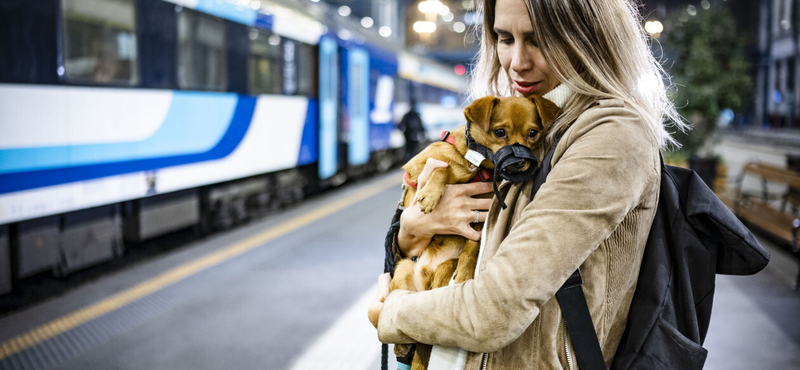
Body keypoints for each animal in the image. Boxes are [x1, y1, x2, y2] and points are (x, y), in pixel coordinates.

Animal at [390, 94, 560, 368]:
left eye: (533, 133)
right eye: (499, 132)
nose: (520, 161)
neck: (475, 164)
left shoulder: (481, 212)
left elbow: (472, 246)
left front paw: (466, 272)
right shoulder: (417, 169)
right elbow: (443, 168)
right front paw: (431, 194)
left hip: (444, 267)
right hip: (404, 268)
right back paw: (401, 344)